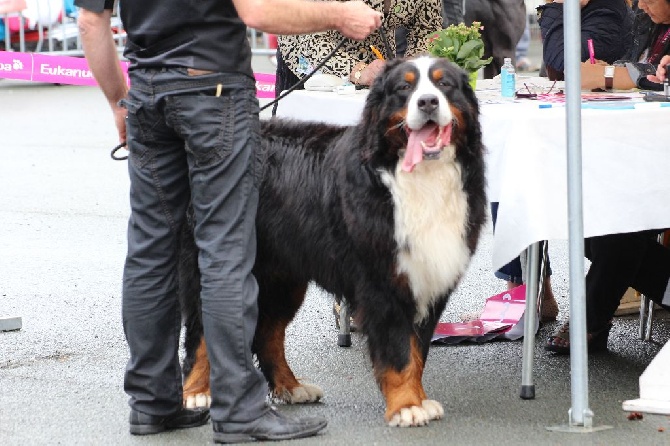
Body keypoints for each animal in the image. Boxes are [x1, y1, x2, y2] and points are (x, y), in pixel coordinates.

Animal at [178, 57, 488, 426]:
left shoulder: (427, 278)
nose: (427, 102)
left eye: (445, 85)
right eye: (404, 87)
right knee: (202, 332)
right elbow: (398, 350)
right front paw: (406, 405)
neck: (421, 179)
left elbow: (417, 350)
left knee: (268, 333)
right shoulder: (382, 282)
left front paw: (419, 398)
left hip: (283, 278)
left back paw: (291, 387)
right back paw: (197, 392)